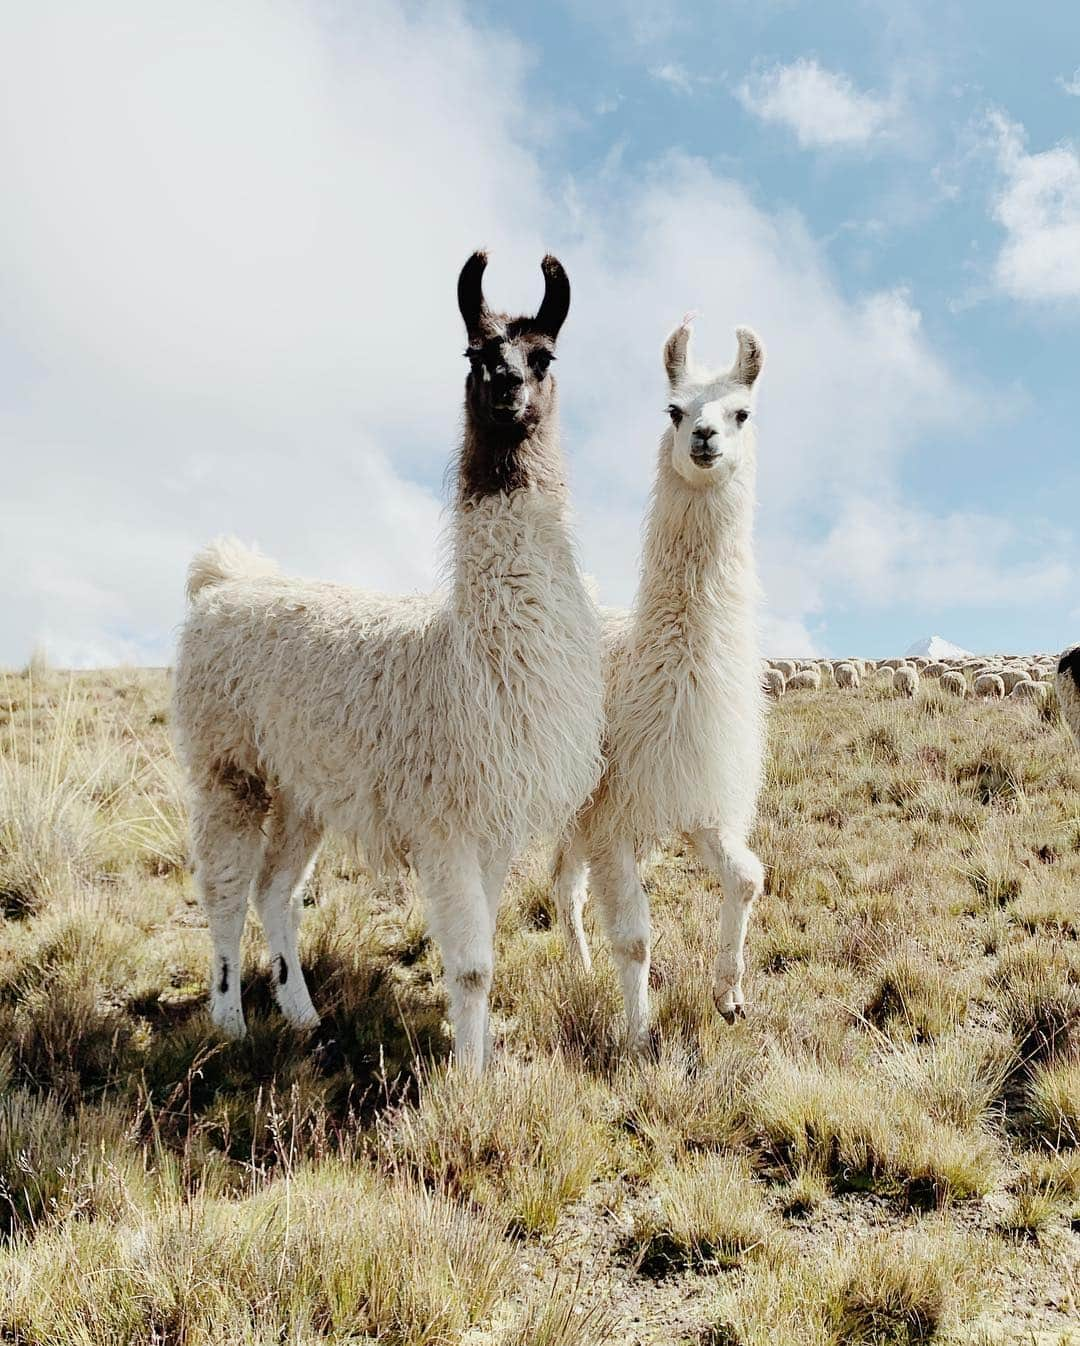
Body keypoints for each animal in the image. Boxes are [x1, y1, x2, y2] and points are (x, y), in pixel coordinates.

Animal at [172, 253, 600, 1071]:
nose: (507, 387)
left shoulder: (492, 822)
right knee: (225, 889)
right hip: (228, 764)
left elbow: (484, 954)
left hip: (303, 785)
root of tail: (223, 581)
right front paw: (472, 1078)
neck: (480, 658)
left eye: (544, 356)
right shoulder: (445, 822)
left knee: (275, 890)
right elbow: (471, 965)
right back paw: (230, 1021)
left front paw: (479, 1058)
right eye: (475, 352)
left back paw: (303, 1015)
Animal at [554, 320, 764, 1033]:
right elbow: (636, 937)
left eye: (741, 412)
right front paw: (639, 1034)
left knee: (564, 882)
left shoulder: (695, 796)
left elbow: (747, 877)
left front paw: (729, 994)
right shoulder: (613, 816)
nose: (703, 438)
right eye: (674, 410)